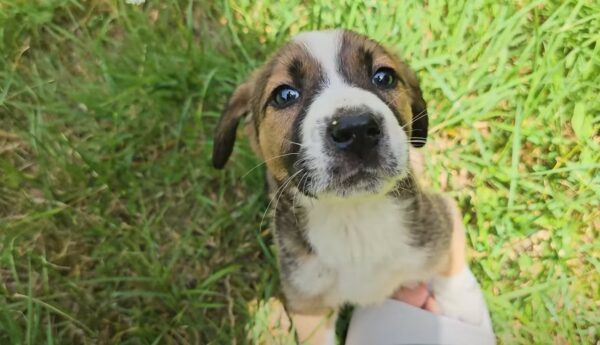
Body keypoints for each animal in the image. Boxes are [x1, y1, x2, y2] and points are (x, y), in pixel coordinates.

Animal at [213, 29, 452, 342]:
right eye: (285, 95)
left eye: (384, 77)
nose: (357, 129)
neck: (354, 219)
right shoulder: (309, 307)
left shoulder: (442, 237)